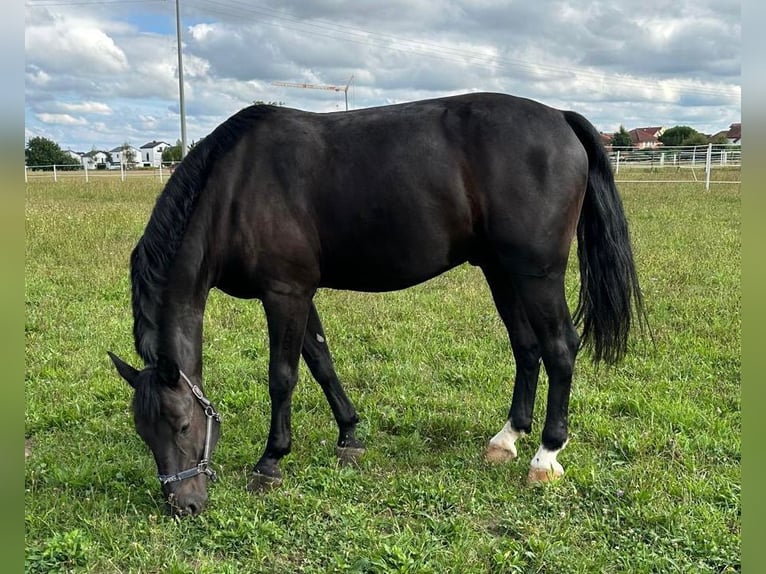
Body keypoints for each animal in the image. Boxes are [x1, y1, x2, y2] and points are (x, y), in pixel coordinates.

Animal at [111, 93, 644, 516]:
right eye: (143, 432)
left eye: (182, 424)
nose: (184, 505)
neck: (235, 188)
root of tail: (560, 118)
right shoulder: (300, 293)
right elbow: (321, 362)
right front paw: (349, 435)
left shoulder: (284, 294)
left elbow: (282, 377)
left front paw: (271, 461)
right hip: (501, 271)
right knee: (527, 348)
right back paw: (506, 440)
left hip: (537, 275)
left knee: (559, 348)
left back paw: (545, 456)